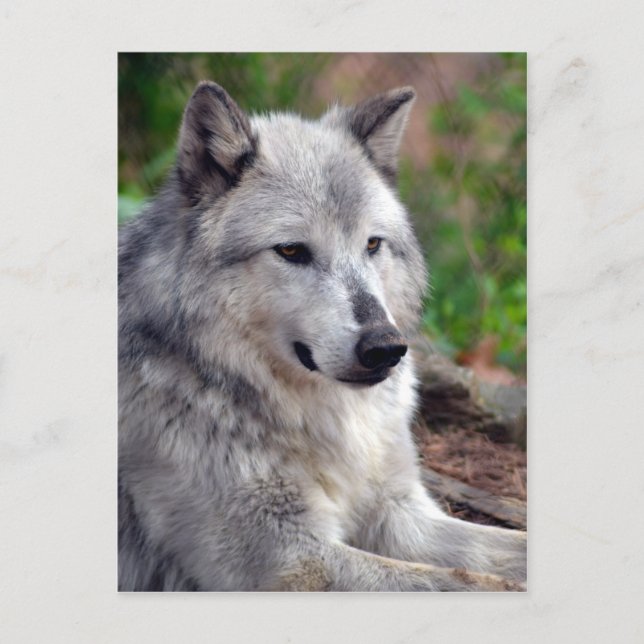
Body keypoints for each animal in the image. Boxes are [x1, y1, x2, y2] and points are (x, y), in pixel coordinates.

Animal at [118, 81, 526, 591]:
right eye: (292, 251)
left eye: (372, 244)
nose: (385, 348)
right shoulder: (292, 560)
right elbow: (464, 581)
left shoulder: (400, 512)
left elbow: (505, 550)